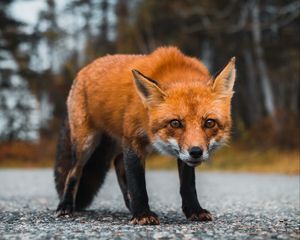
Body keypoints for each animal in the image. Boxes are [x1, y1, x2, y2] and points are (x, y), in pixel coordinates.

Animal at [54, 46, 237, 225]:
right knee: (74, 172)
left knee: (118, 163)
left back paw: (129, 205)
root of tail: (84, 69)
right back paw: (65, 205)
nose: (196, 152)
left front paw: (194, 210)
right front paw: (142, 214)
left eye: (209, 123)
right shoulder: (133, 140)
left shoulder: (179, 154)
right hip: (86, 144)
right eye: (175, 123)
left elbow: (188, 185)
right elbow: (137, 184)